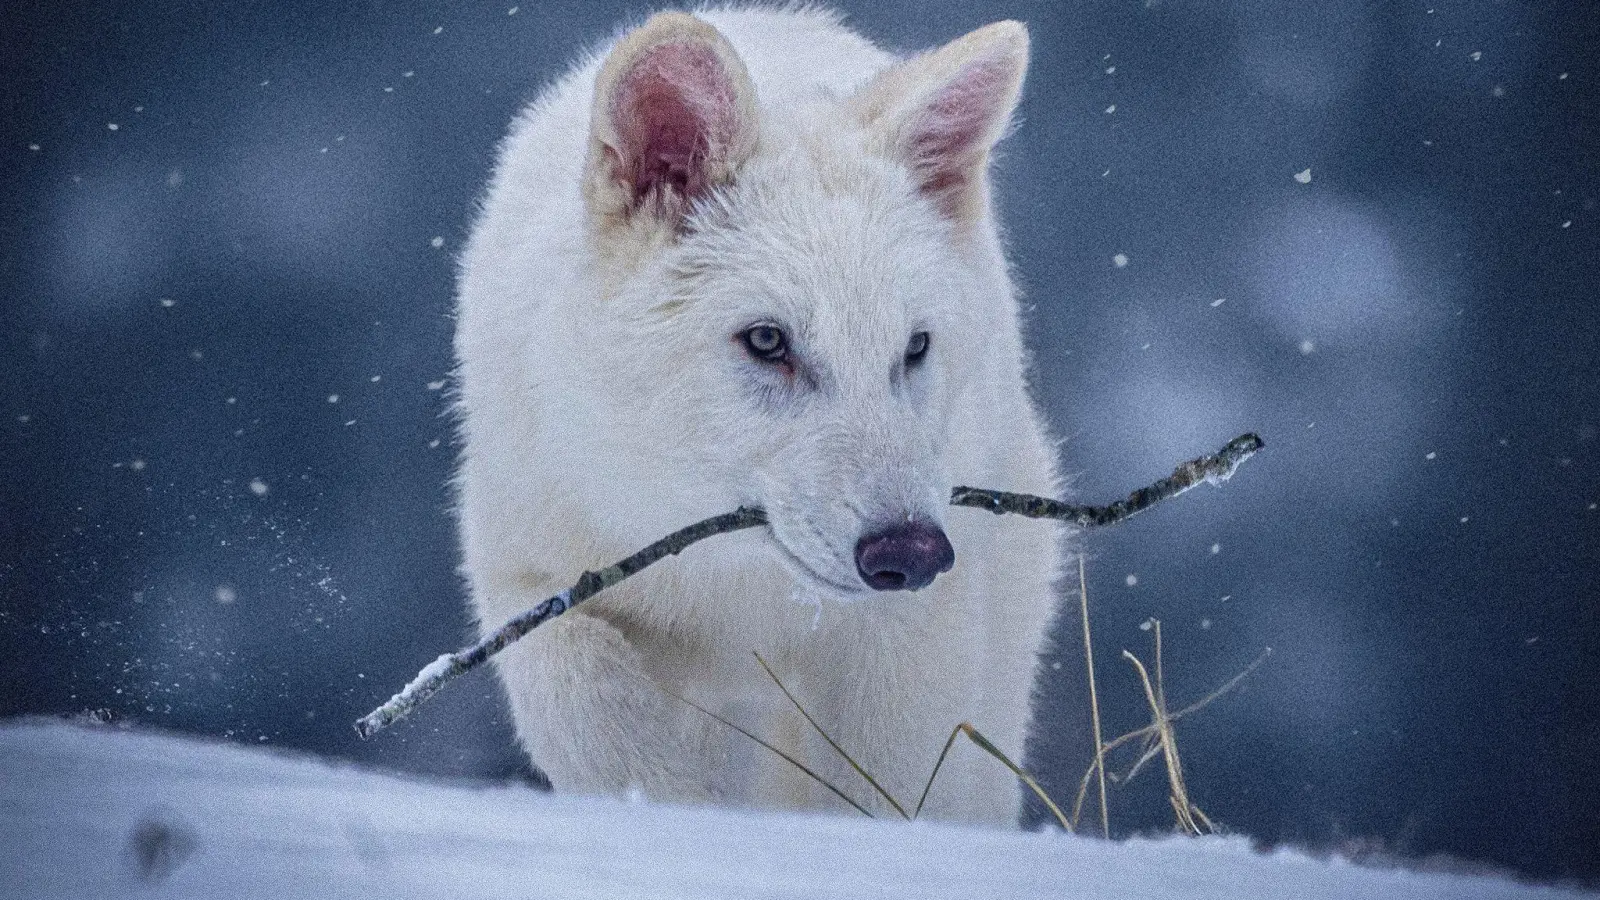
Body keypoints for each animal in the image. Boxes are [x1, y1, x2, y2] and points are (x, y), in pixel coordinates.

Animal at [453, 6, 1064, 825]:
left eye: (914, 348)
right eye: (768, 341)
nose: (911, 552)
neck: (733, 582)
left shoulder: (904, 642)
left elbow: (880, 790)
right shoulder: (533, 579)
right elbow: (601, 722)